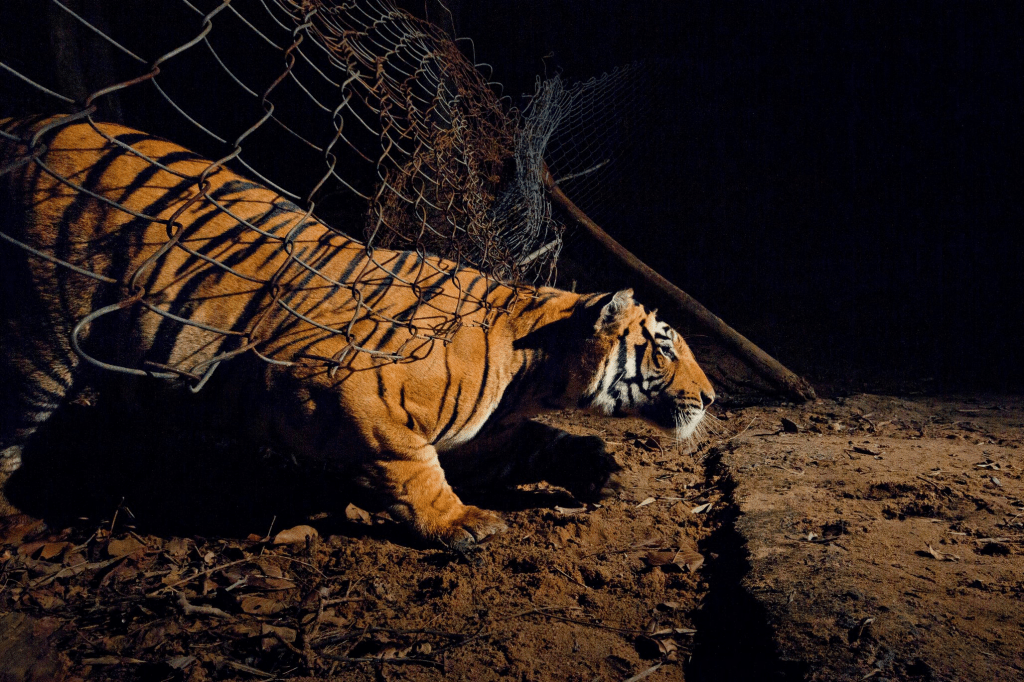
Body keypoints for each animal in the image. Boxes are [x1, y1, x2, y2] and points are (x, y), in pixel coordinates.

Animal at [0, 117, 715, 548]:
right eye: (664, 347)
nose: (711, 398)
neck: (531, 371)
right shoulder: (346, 393)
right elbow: (413, 467)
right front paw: (462, 522)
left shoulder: (483, 434)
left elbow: (538, 441)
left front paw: (596, 465)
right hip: (41, 342)